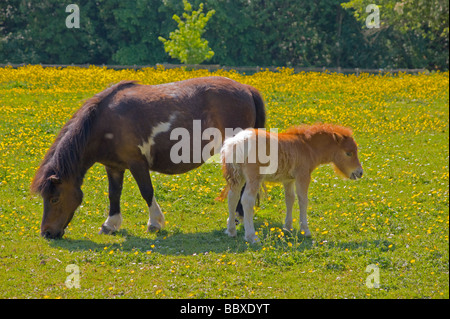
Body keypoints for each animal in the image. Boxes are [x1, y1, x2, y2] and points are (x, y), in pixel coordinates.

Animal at [31, 76, 266, 239]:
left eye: (54, 198)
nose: (47, 233)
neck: (103, 124)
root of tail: (247, 89)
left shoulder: (137, 164)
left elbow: (147, 191)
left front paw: (154, 223)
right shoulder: (114, 167)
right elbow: (114, 194)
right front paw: (110, 224)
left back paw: (237, 217)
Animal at [220, 124, 364, 244]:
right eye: (348, 153)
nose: (360, 172)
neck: (307, 147)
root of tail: (236, 143)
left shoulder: (288, 179)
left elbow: (290, 199)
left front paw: (288, 227)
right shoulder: (303, 176)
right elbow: (303, 200)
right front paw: (305, 230)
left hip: (238, 177)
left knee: (232, 197)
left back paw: (231, 230)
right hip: (254, 177)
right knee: (247, 200)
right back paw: (251, 236)